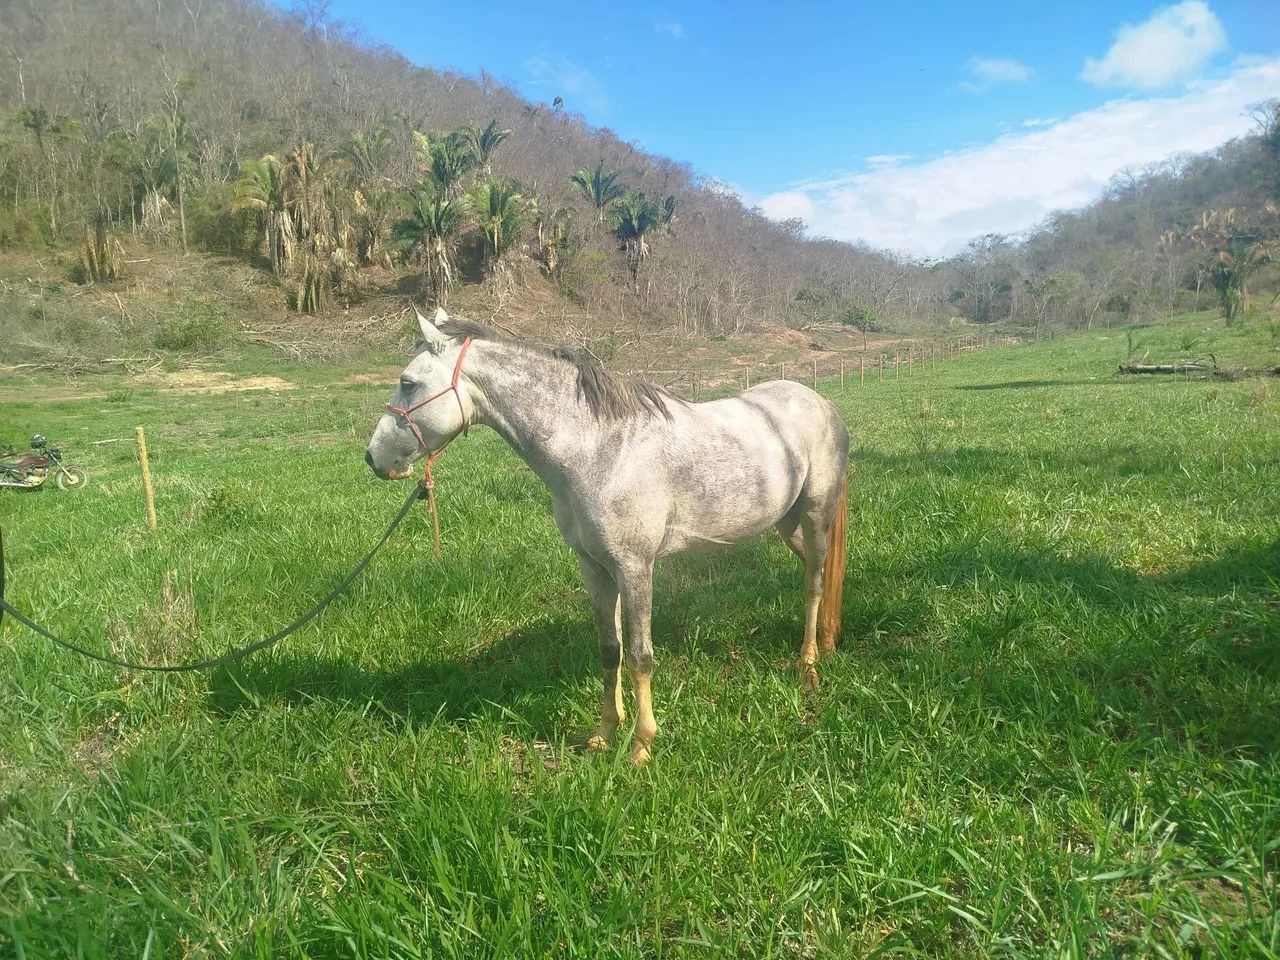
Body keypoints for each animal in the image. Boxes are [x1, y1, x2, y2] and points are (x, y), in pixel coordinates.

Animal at [365, 307, 850, 764]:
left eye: (408, 383)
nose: (373, 457)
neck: (599, 450)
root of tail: (823, 404)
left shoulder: (634, 568)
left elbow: (639, 656)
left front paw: (642, 746)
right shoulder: (595, 568)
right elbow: (609, 650)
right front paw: (604, 733)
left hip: (815, 516)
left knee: (814, 584)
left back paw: (808, 665)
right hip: (786, 523)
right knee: (819, 572)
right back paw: (826, 642)